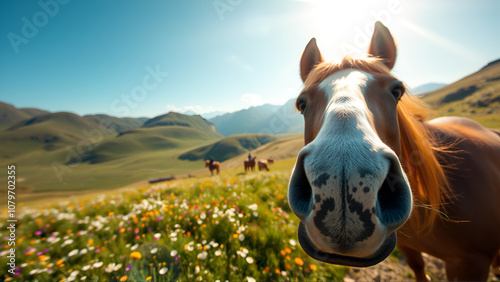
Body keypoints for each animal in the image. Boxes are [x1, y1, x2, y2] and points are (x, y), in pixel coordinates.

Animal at [286, 20, 500, 280]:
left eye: (397, 91)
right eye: (302, 104)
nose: (342, 185)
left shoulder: (471, 263)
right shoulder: (409, 249)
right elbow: (418, 269)